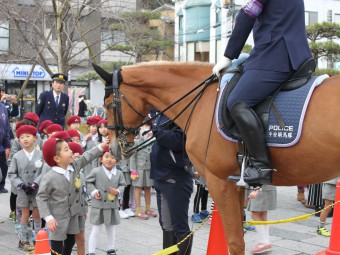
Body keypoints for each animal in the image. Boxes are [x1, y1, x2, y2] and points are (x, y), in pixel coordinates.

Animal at [96, 61, 340, 255]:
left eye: (108, 104)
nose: (113, 147)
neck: (202, 101)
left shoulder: (219, 181)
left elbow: (235, 242)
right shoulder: (236, 184)